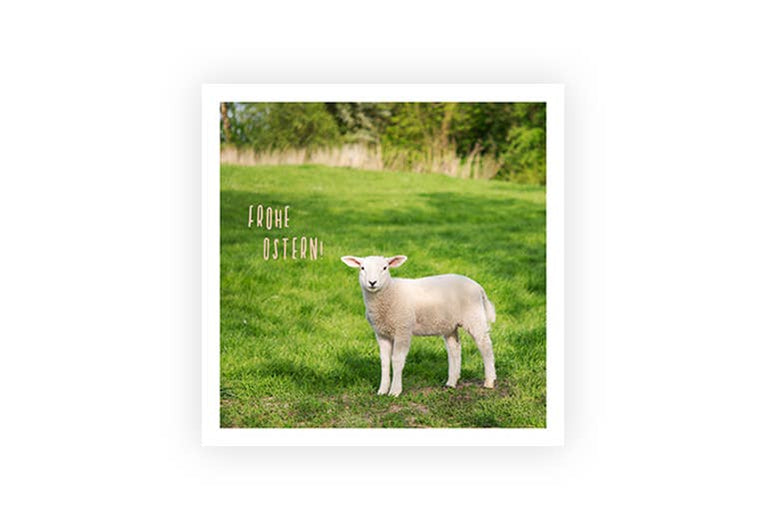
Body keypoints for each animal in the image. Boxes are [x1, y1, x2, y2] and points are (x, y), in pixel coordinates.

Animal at [341, 255, 496, 397]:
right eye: (362, 268)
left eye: (385, 268)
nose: (372, 282)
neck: (390, 292)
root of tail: (478, 287)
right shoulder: (381, 333)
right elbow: (384, 362)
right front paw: (382, 390)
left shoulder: (403, 328)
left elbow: (397, 360)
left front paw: (395, 391)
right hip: (449, 325)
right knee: (455, 349)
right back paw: (451, 382)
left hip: (474, 317)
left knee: (485, 346)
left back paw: (489, 381)